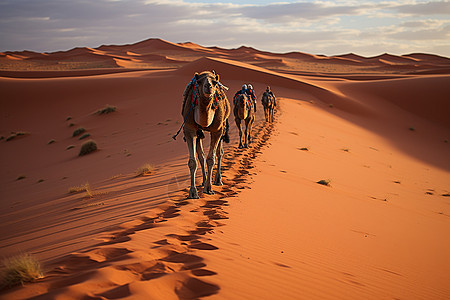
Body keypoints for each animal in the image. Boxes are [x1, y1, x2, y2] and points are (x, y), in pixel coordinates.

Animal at [180, 71, 230, 199]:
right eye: (198, 82)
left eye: (215, 82)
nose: (209, 86)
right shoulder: (189, 129)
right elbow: (193, 162)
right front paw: (193, 192)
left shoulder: (217, 130)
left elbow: (211, 159)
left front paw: (209, 188)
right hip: (198, 133)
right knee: (201, 156)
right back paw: (204, 180)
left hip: (223, 127)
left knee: (219, 153)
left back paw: (218, 180)